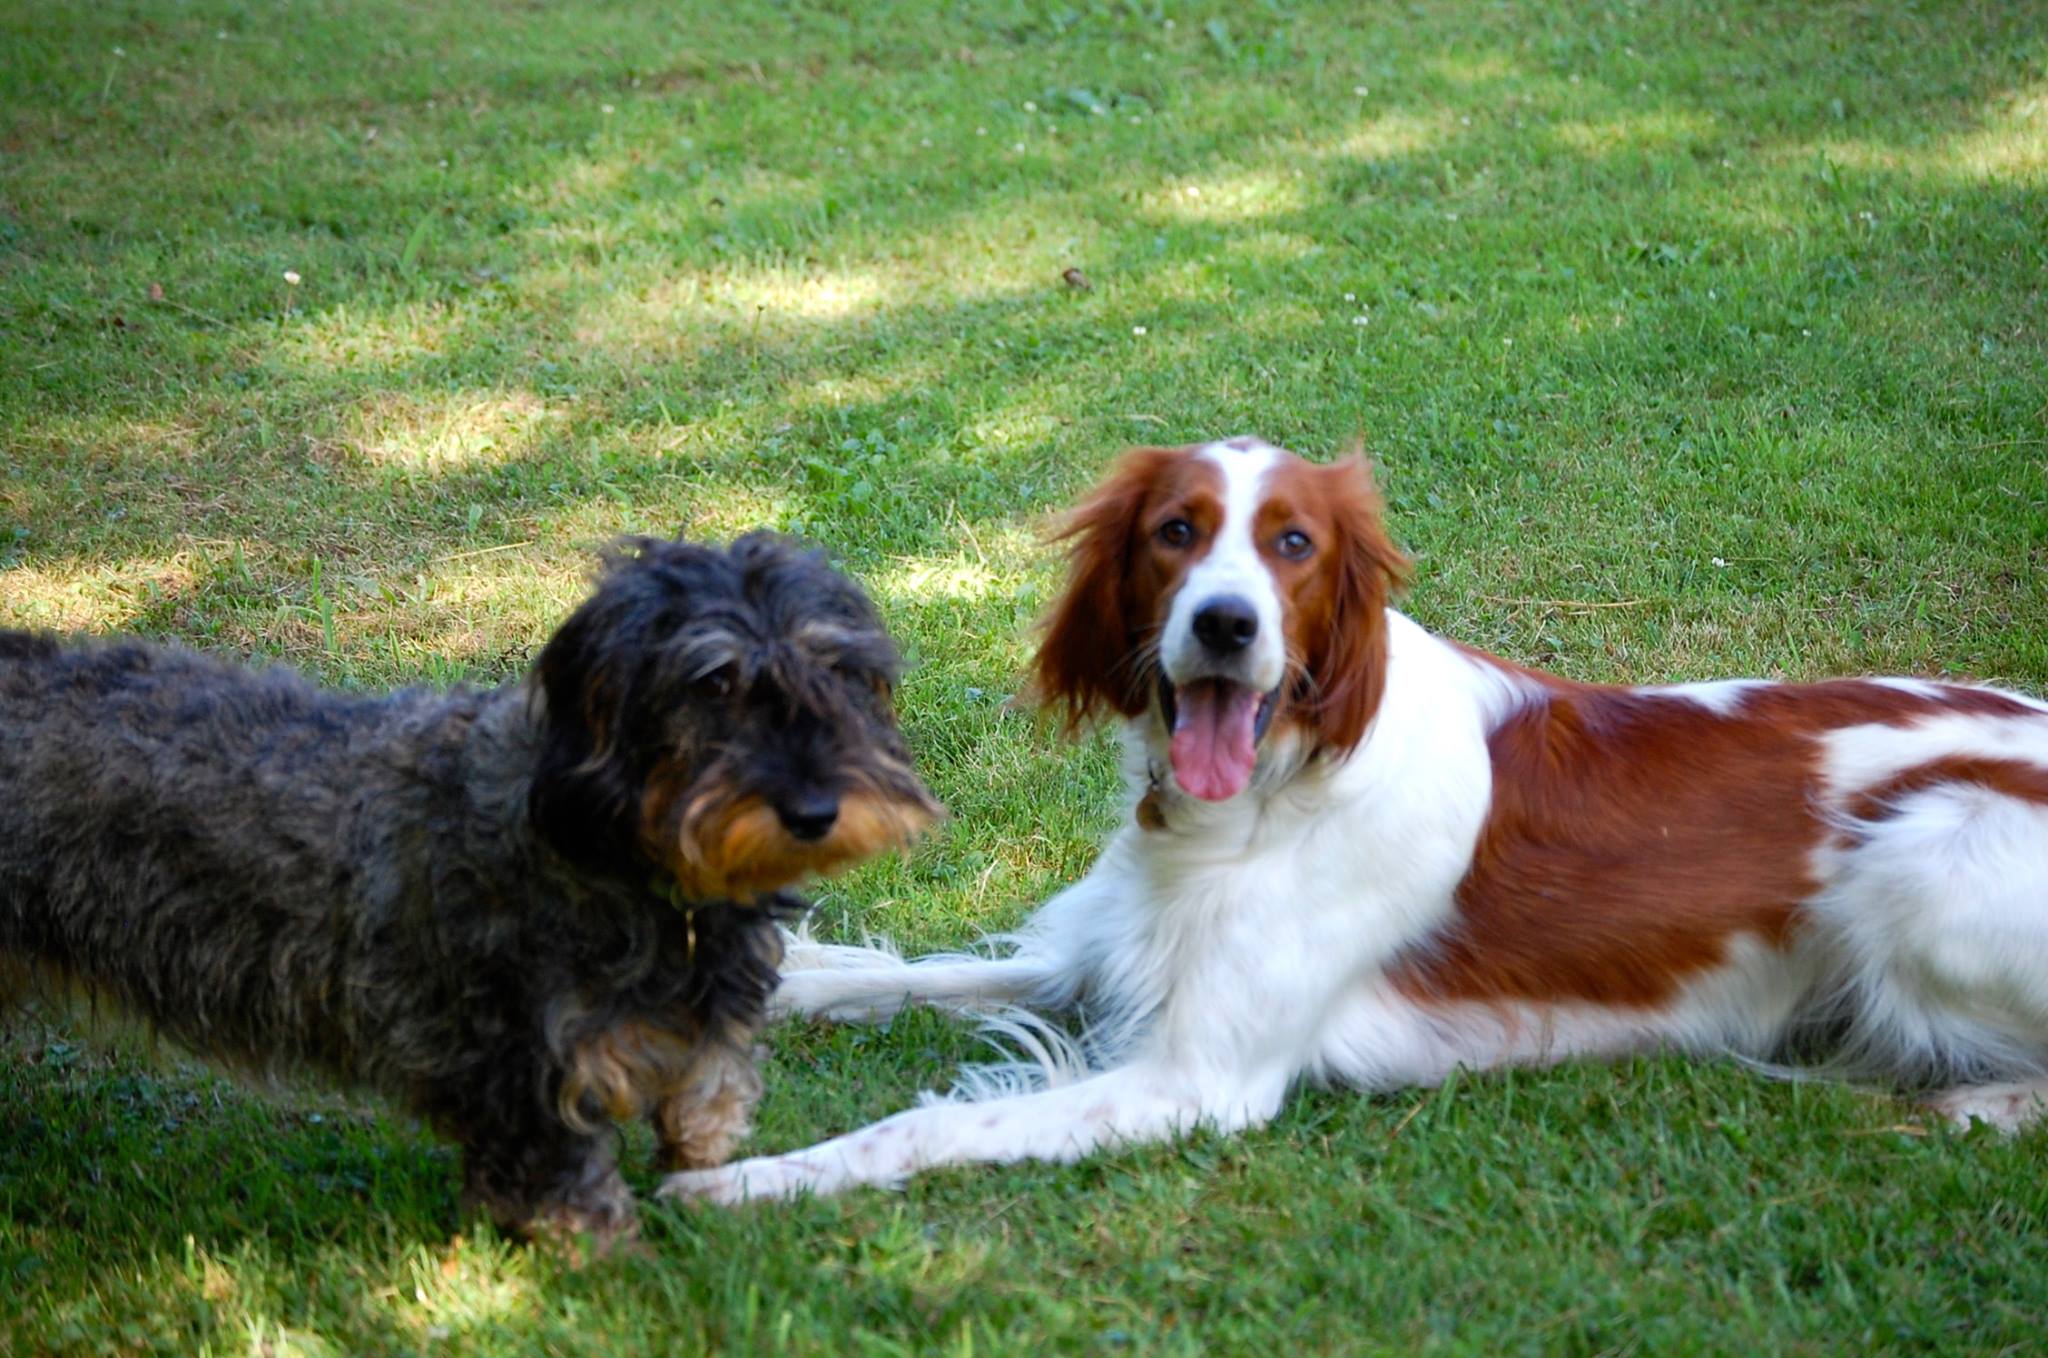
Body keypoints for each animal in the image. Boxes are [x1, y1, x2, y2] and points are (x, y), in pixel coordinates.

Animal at [0, 532, 937, 1253]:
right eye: (713, 684)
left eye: (839, 672)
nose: (815, 812)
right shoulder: (521, 1081)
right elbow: (576, 1202)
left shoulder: (695, 1043)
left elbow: (703, 1117)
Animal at [659, 432, 2048, 1204]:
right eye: (1175, 532)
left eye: (1292, 544)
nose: (1226, 624)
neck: (1273, 790)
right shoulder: (1098, 952)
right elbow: (889, 972)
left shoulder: (1199, 1080)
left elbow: (927, 1121)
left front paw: (745, 1179)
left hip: (1917, 857)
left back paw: (1971, 1104)